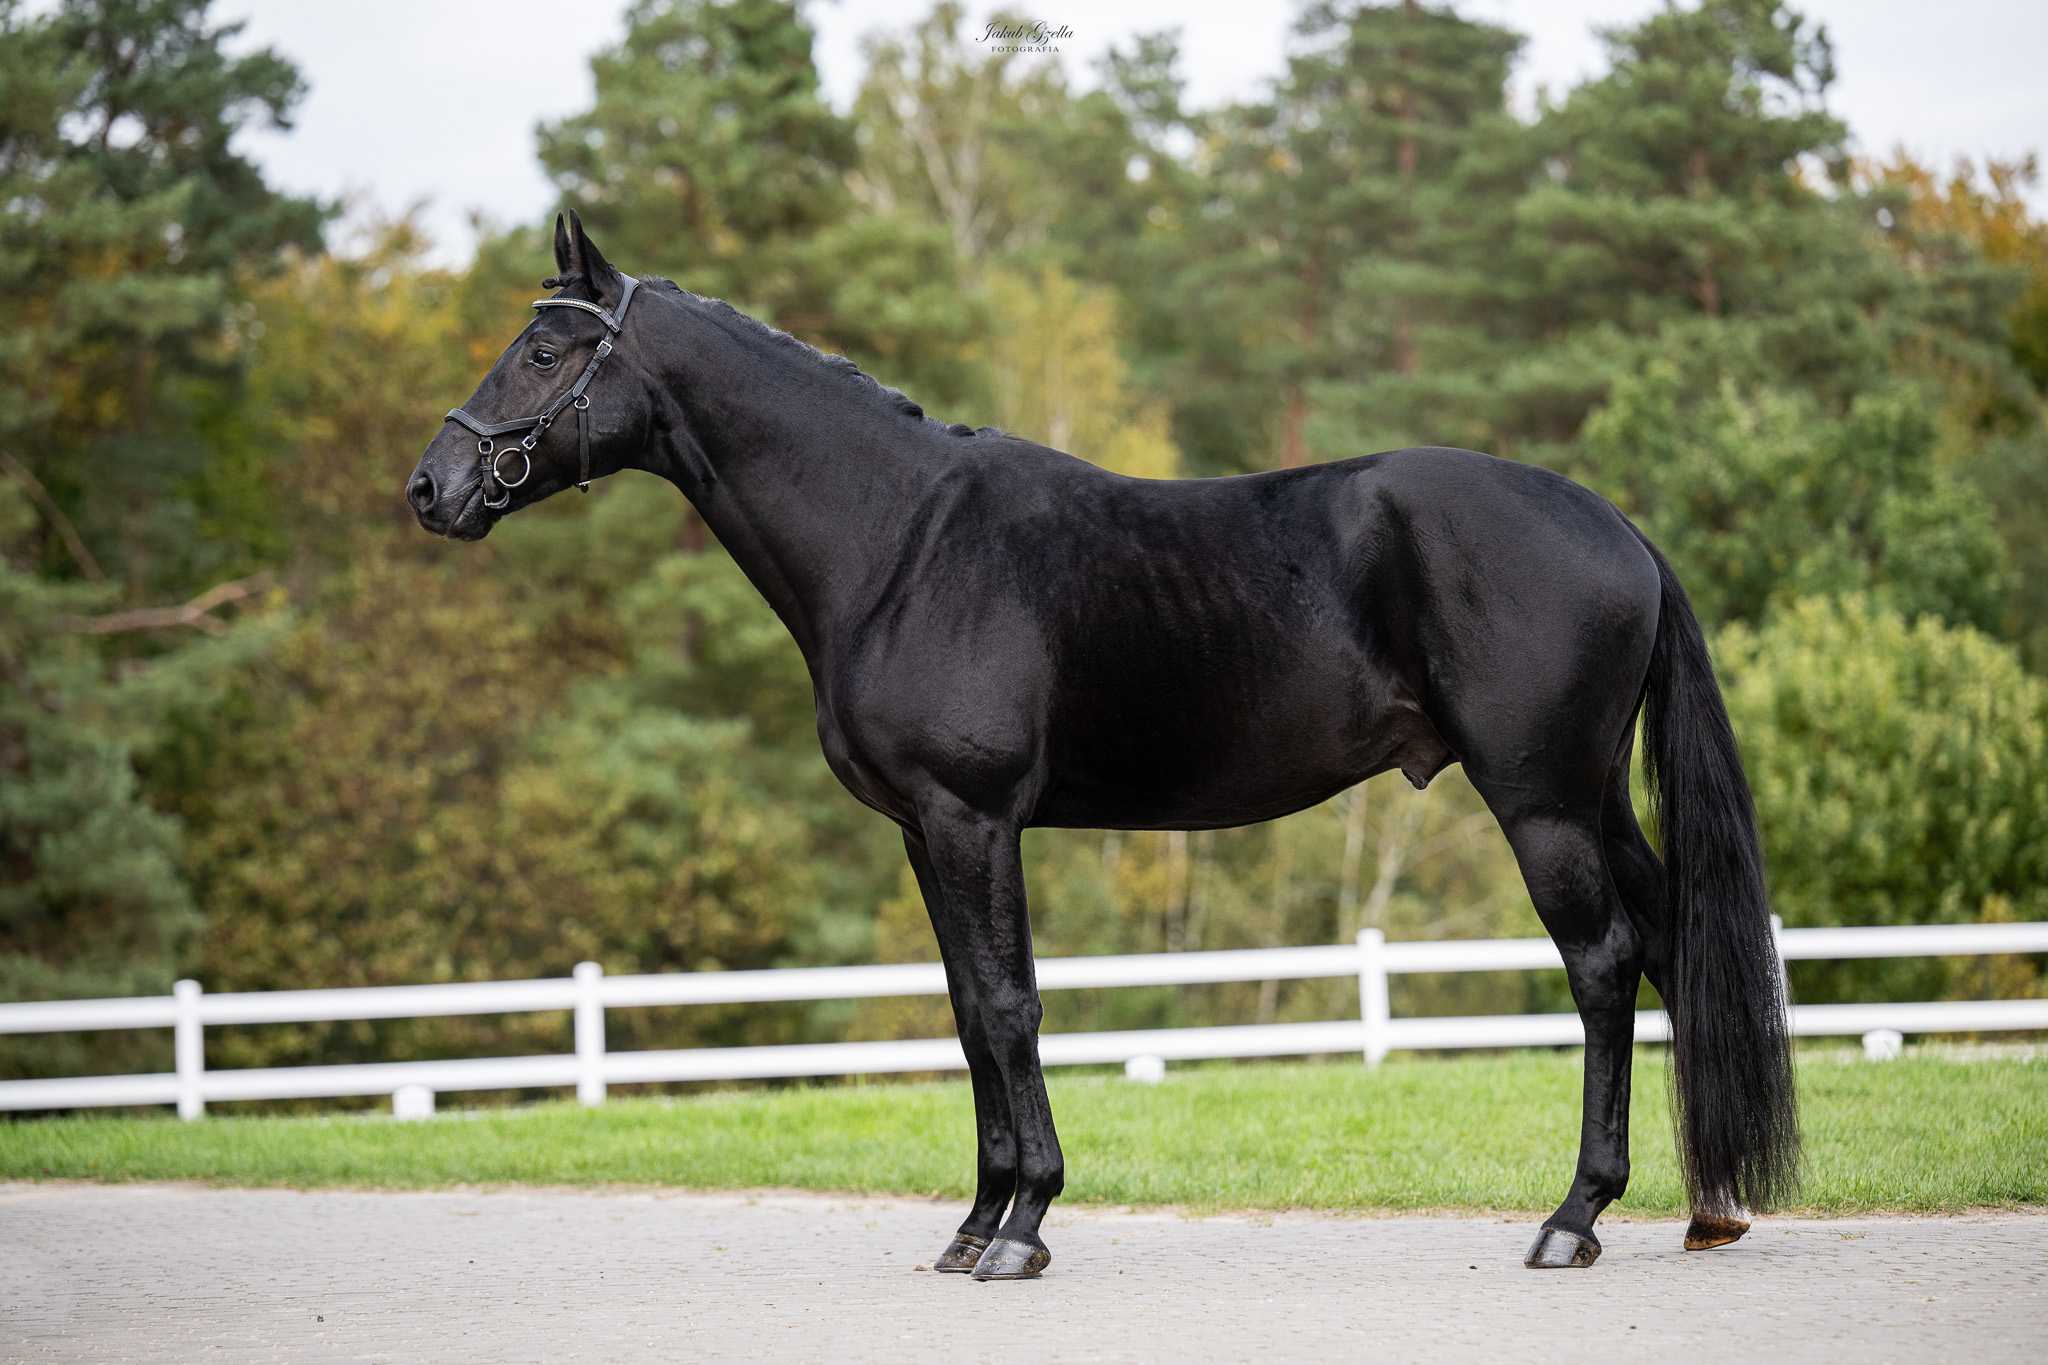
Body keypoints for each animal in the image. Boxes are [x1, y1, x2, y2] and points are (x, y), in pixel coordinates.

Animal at [406, 212, 1798, 1279]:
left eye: (542, 349)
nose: (431, 489)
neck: (899, 540)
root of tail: (1616, 528)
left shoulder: (974, 818)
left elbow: (1009, 1006)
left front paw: (1022, 1227)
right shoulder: (923, 831)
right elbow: (969, 1015)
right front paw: (971, 1227)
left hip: (1539, 800)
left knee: (1603, 964)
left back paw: (1572, 1219)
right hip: (1592, 795)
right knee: (1670, 943)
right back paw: (1705, 1209)